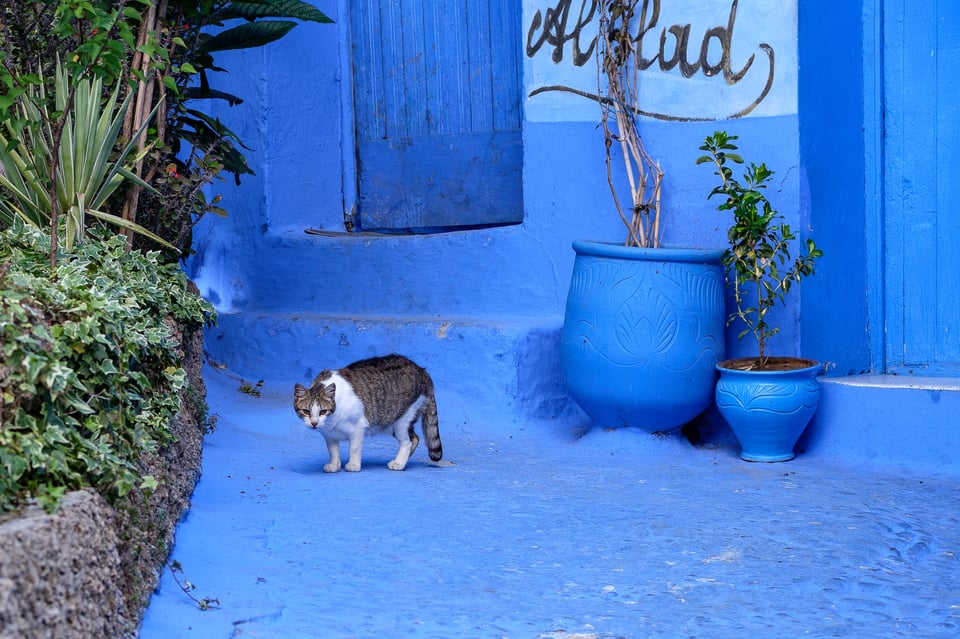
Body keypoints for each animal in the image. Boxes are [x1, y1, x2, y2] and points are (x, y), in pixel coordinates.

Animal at [292, 352, 442, 472]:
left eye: (323, 411)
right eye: (306, 411)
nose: (314, 423)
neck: (331, 421)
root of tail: (421, 370)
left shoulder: (358, 427)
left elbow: (354, 448)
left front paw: (353, 465)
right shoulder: (329, 435)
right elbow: (333, 451)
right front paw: (334, 465)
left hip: (401, 420)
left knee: (408, 441)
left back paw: (399, 463)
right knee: (415, 438)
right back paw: (404, 460)